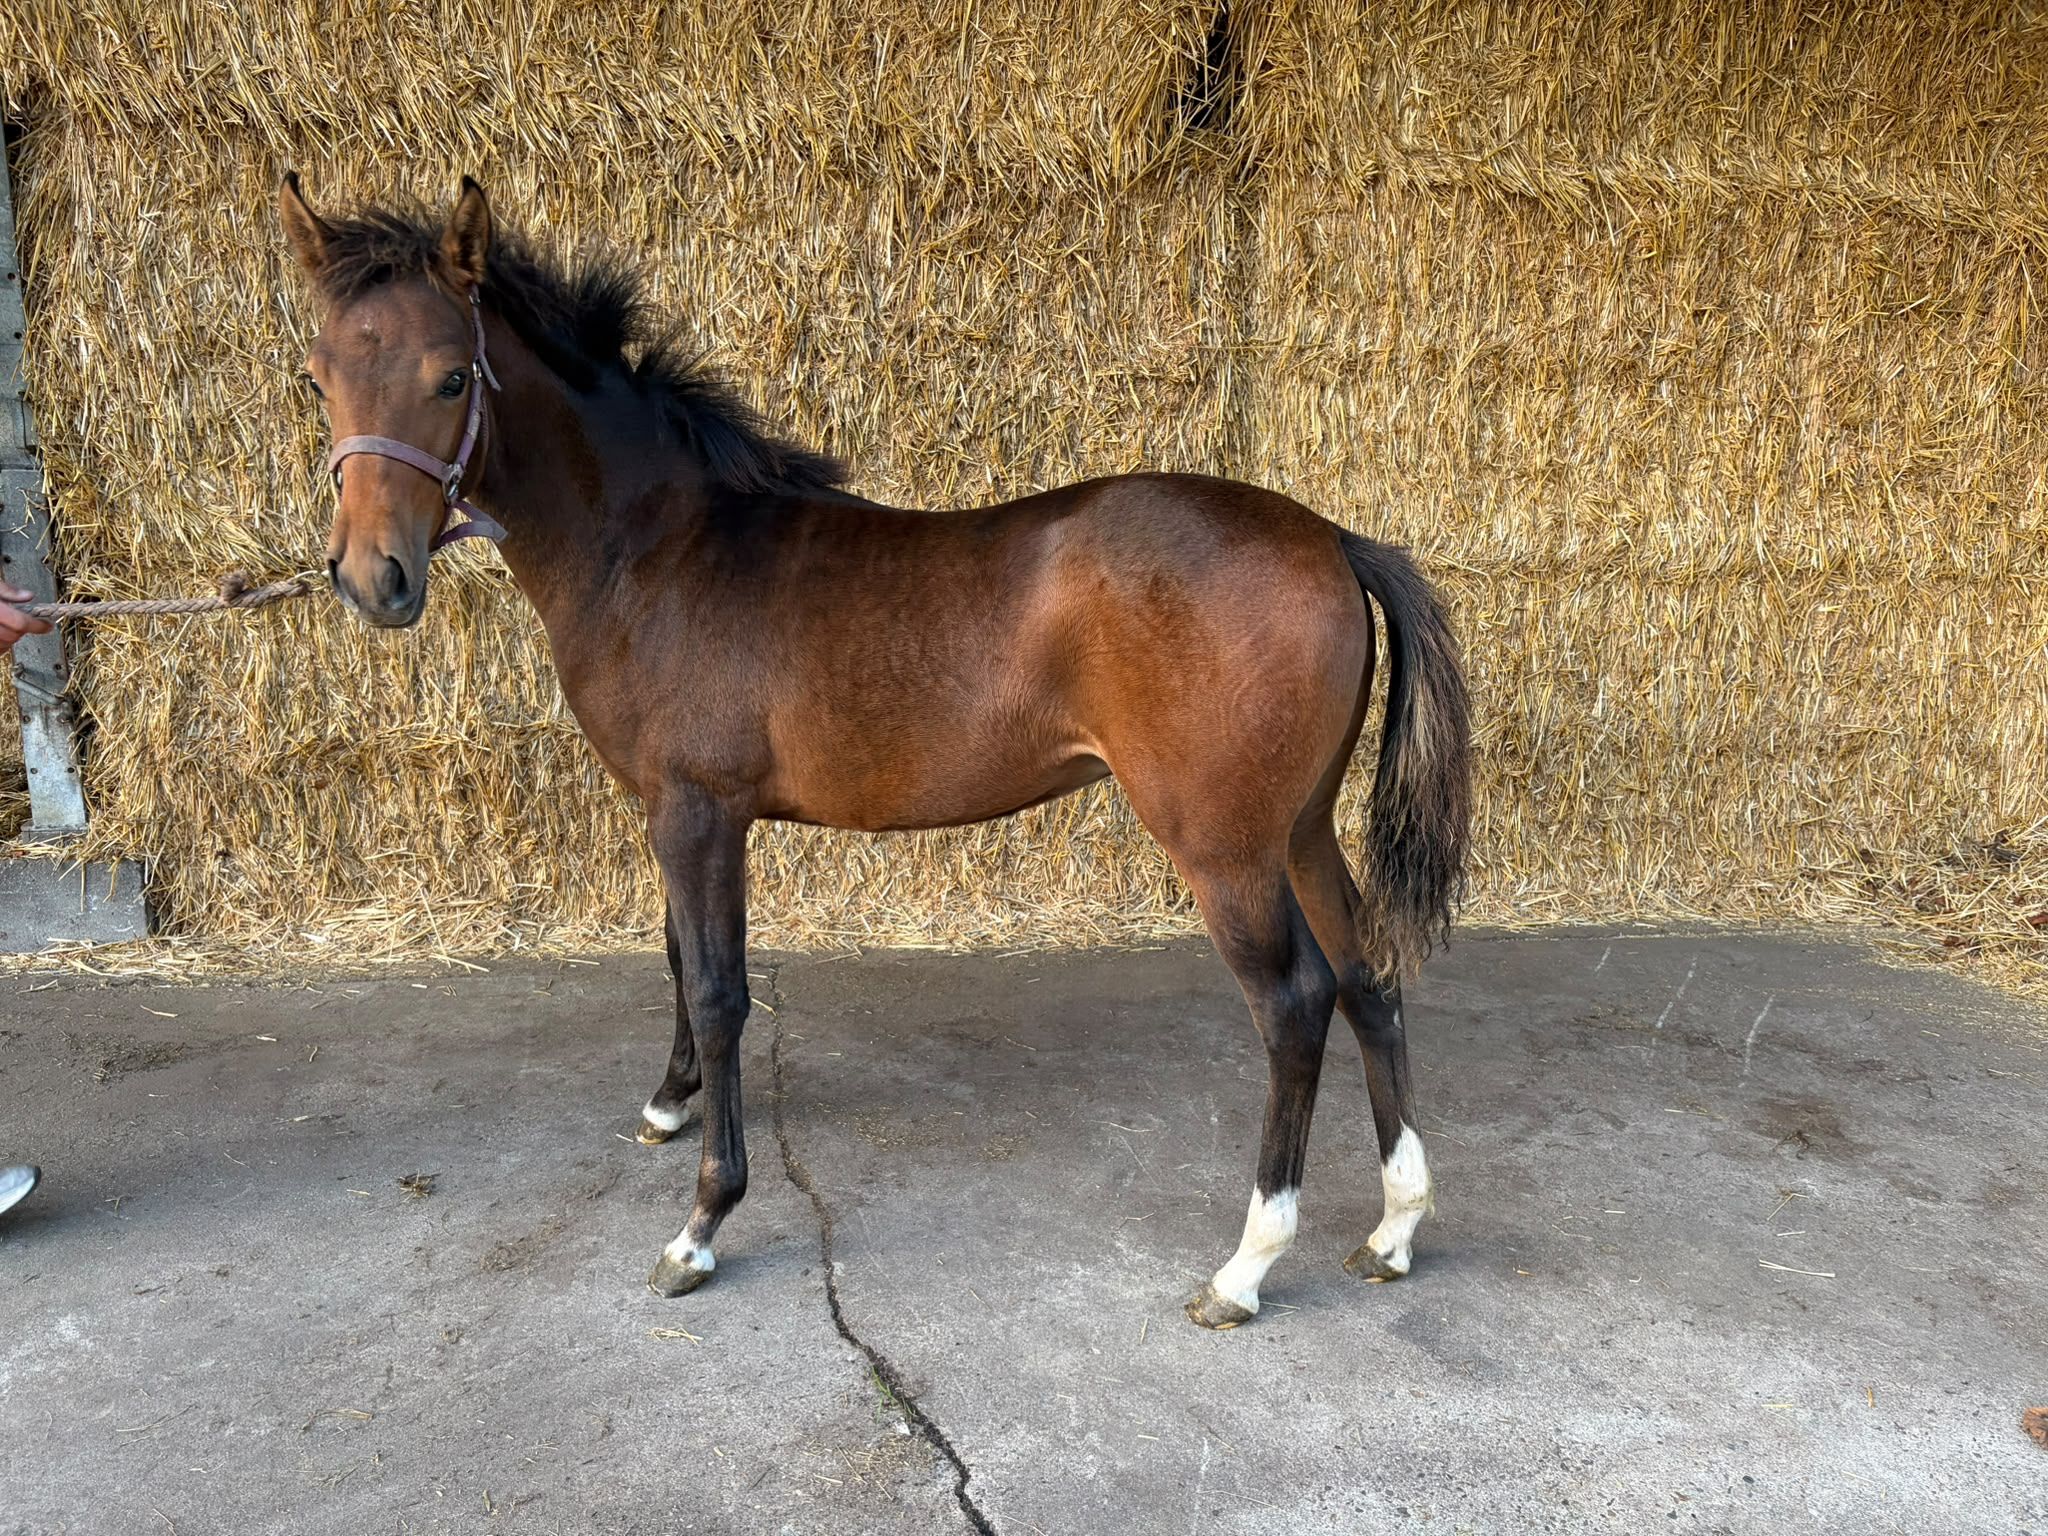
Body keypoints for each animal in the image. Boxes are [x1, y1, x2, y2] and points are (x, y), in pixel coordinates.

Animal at [278, 174, 1472, 1330]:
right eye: (316, 377)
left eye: (449, 378)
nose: (372, 578)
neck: (659, 548)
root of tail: (1331, 539)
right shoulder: (669, 810)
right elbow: (677, 959)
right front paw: (669, 1102)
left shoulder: (698, 811)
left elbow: (718, 988)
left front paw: (701, 1224)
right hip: (1300, 827)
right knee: (1368, 978)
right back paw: (1393, 1228)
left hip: (1223, 845)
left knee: (1296, 1004)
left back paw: (1245, 1267)